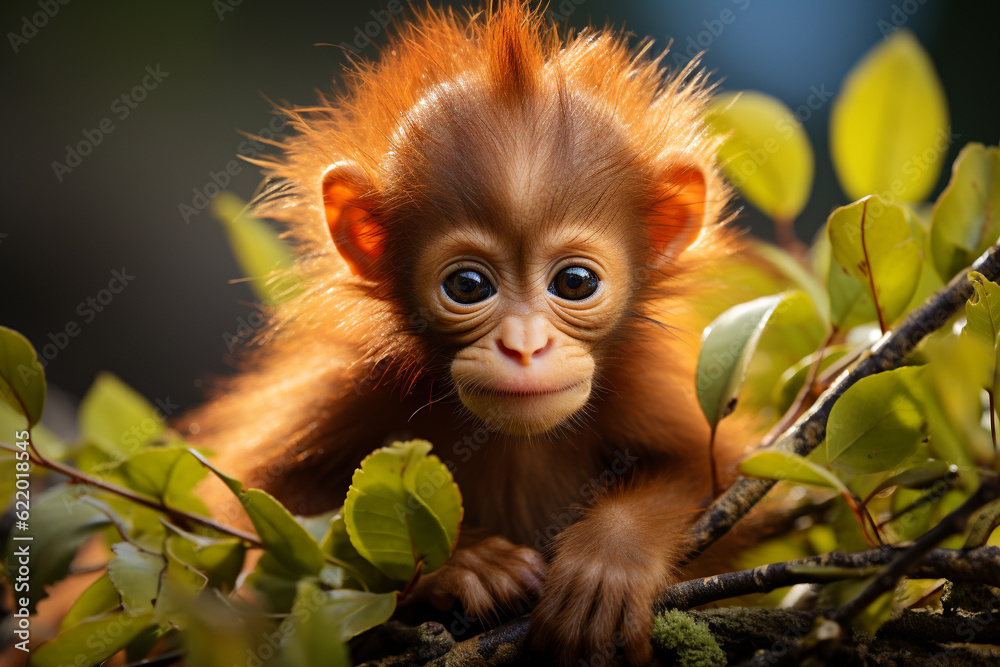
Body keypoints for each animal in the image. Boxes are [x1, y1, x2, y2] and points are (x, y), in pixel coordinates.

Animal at [183, 2, 748, 664]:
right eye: (469, 285)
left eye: (575, 282)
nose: (524, 346)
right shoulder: (352, 377)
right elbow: (263, 518)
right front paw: (462, 562)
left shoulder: (644, 382)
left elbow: (718, 472)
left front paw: (609, 559)